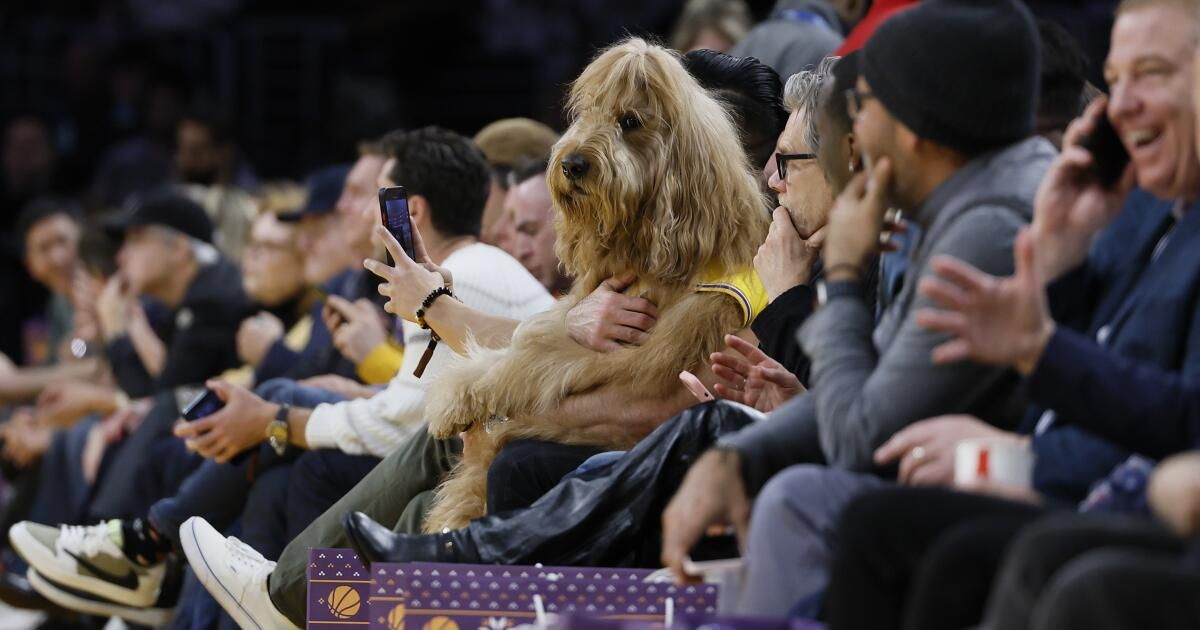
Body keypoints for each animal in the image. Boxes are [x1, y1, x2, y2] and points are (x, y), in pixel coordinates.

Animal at [424, 38, 768, 530]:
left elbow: (528, 363)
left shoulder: (637, 355)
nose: (572, 164)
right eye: (586, 113)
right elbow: (523, 342)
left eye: (631, 121)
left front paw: (458, 403)